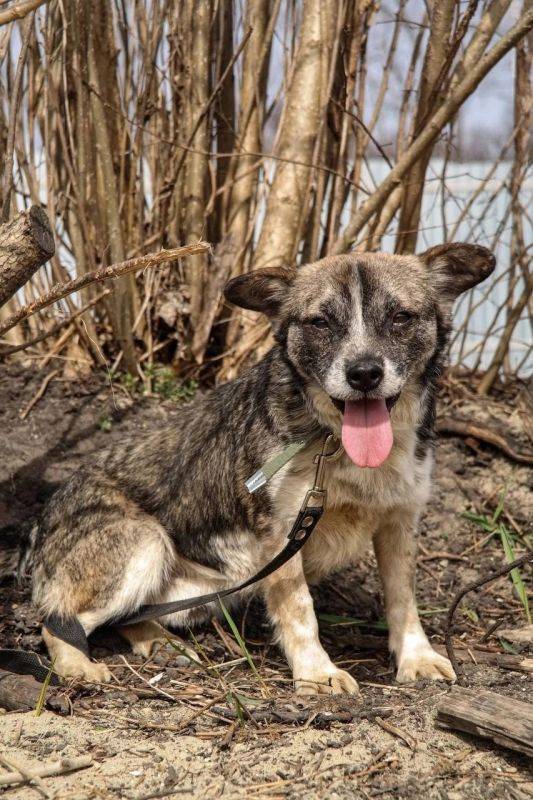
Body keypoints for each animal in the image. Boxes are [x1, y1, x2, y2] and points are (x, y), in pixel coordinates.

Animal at [3, 242, 494, 692]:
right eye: (320, 322)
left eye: (401, 317)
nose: (364, 373)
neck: (334, 440)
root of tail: (41, 520)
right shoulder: (284, 535)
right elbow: (300, 610)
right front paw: (316, 673)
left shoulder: (399, 523)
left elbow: (403, 600)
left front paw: (417, 656)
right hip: (147, 545)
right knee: (55, 619)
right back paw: (79, 667)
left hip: (209, 591)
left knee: (127, 618)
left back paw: (159, 642)